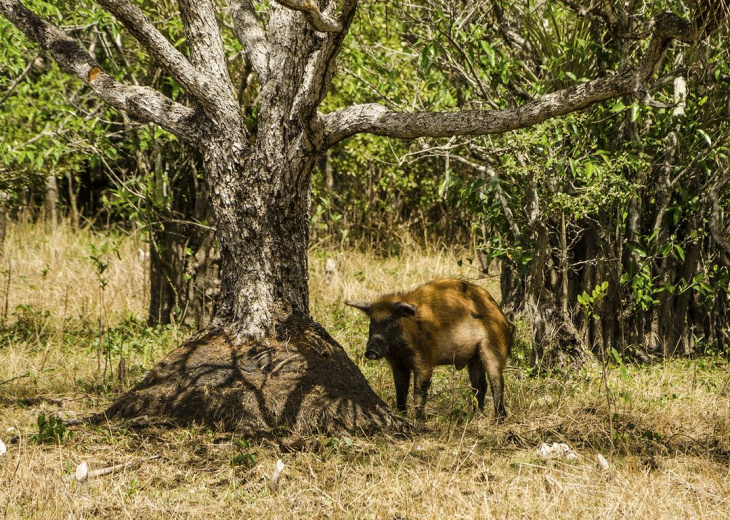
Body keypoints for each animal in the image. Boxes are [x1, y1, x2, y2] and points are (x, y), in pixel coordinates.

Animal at [346, 278, 512, 420]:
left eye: (391, 322)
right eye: (371, 322)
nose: (370, 352)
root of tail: (502, 316)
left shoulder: (424, 358)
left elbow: (419, 388)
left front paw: (420, 419)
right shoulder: (398, 364)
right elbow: (400, 389)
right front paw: (402, 415)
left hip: (493, 347)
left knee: (496, 382)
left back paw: (499, 418)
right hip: (475, 358)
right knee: (479, 385)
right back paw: (475, 416)